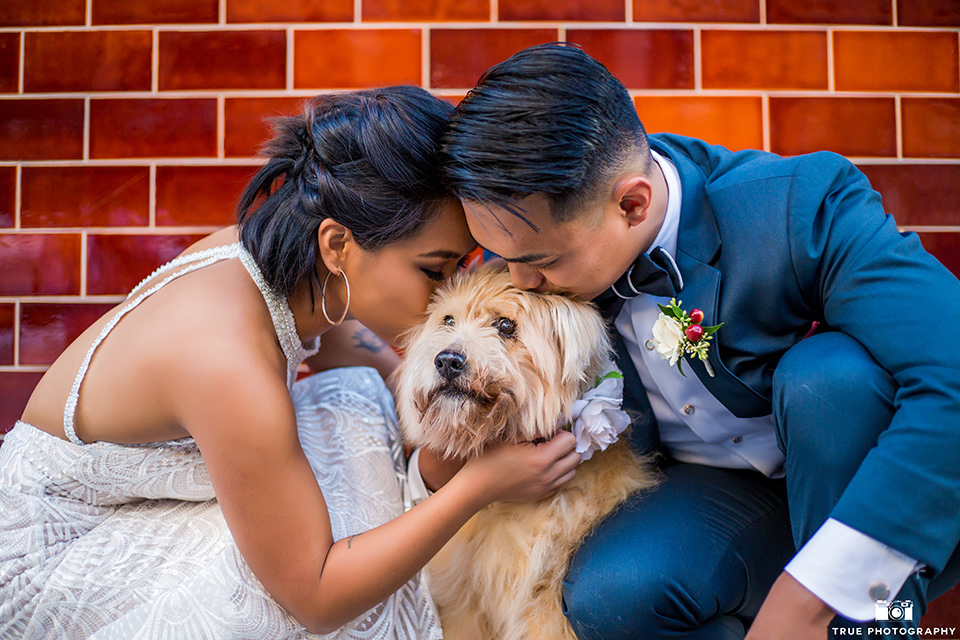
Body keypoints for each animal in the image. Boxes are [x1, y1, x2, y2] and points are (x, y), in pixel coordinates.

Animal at [394, 262, 656, 640]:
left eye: (506, 325)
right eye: (448, 320)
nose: (447, 360)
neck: (498, 507)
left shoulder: (543, 612)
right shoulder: (464, 605)